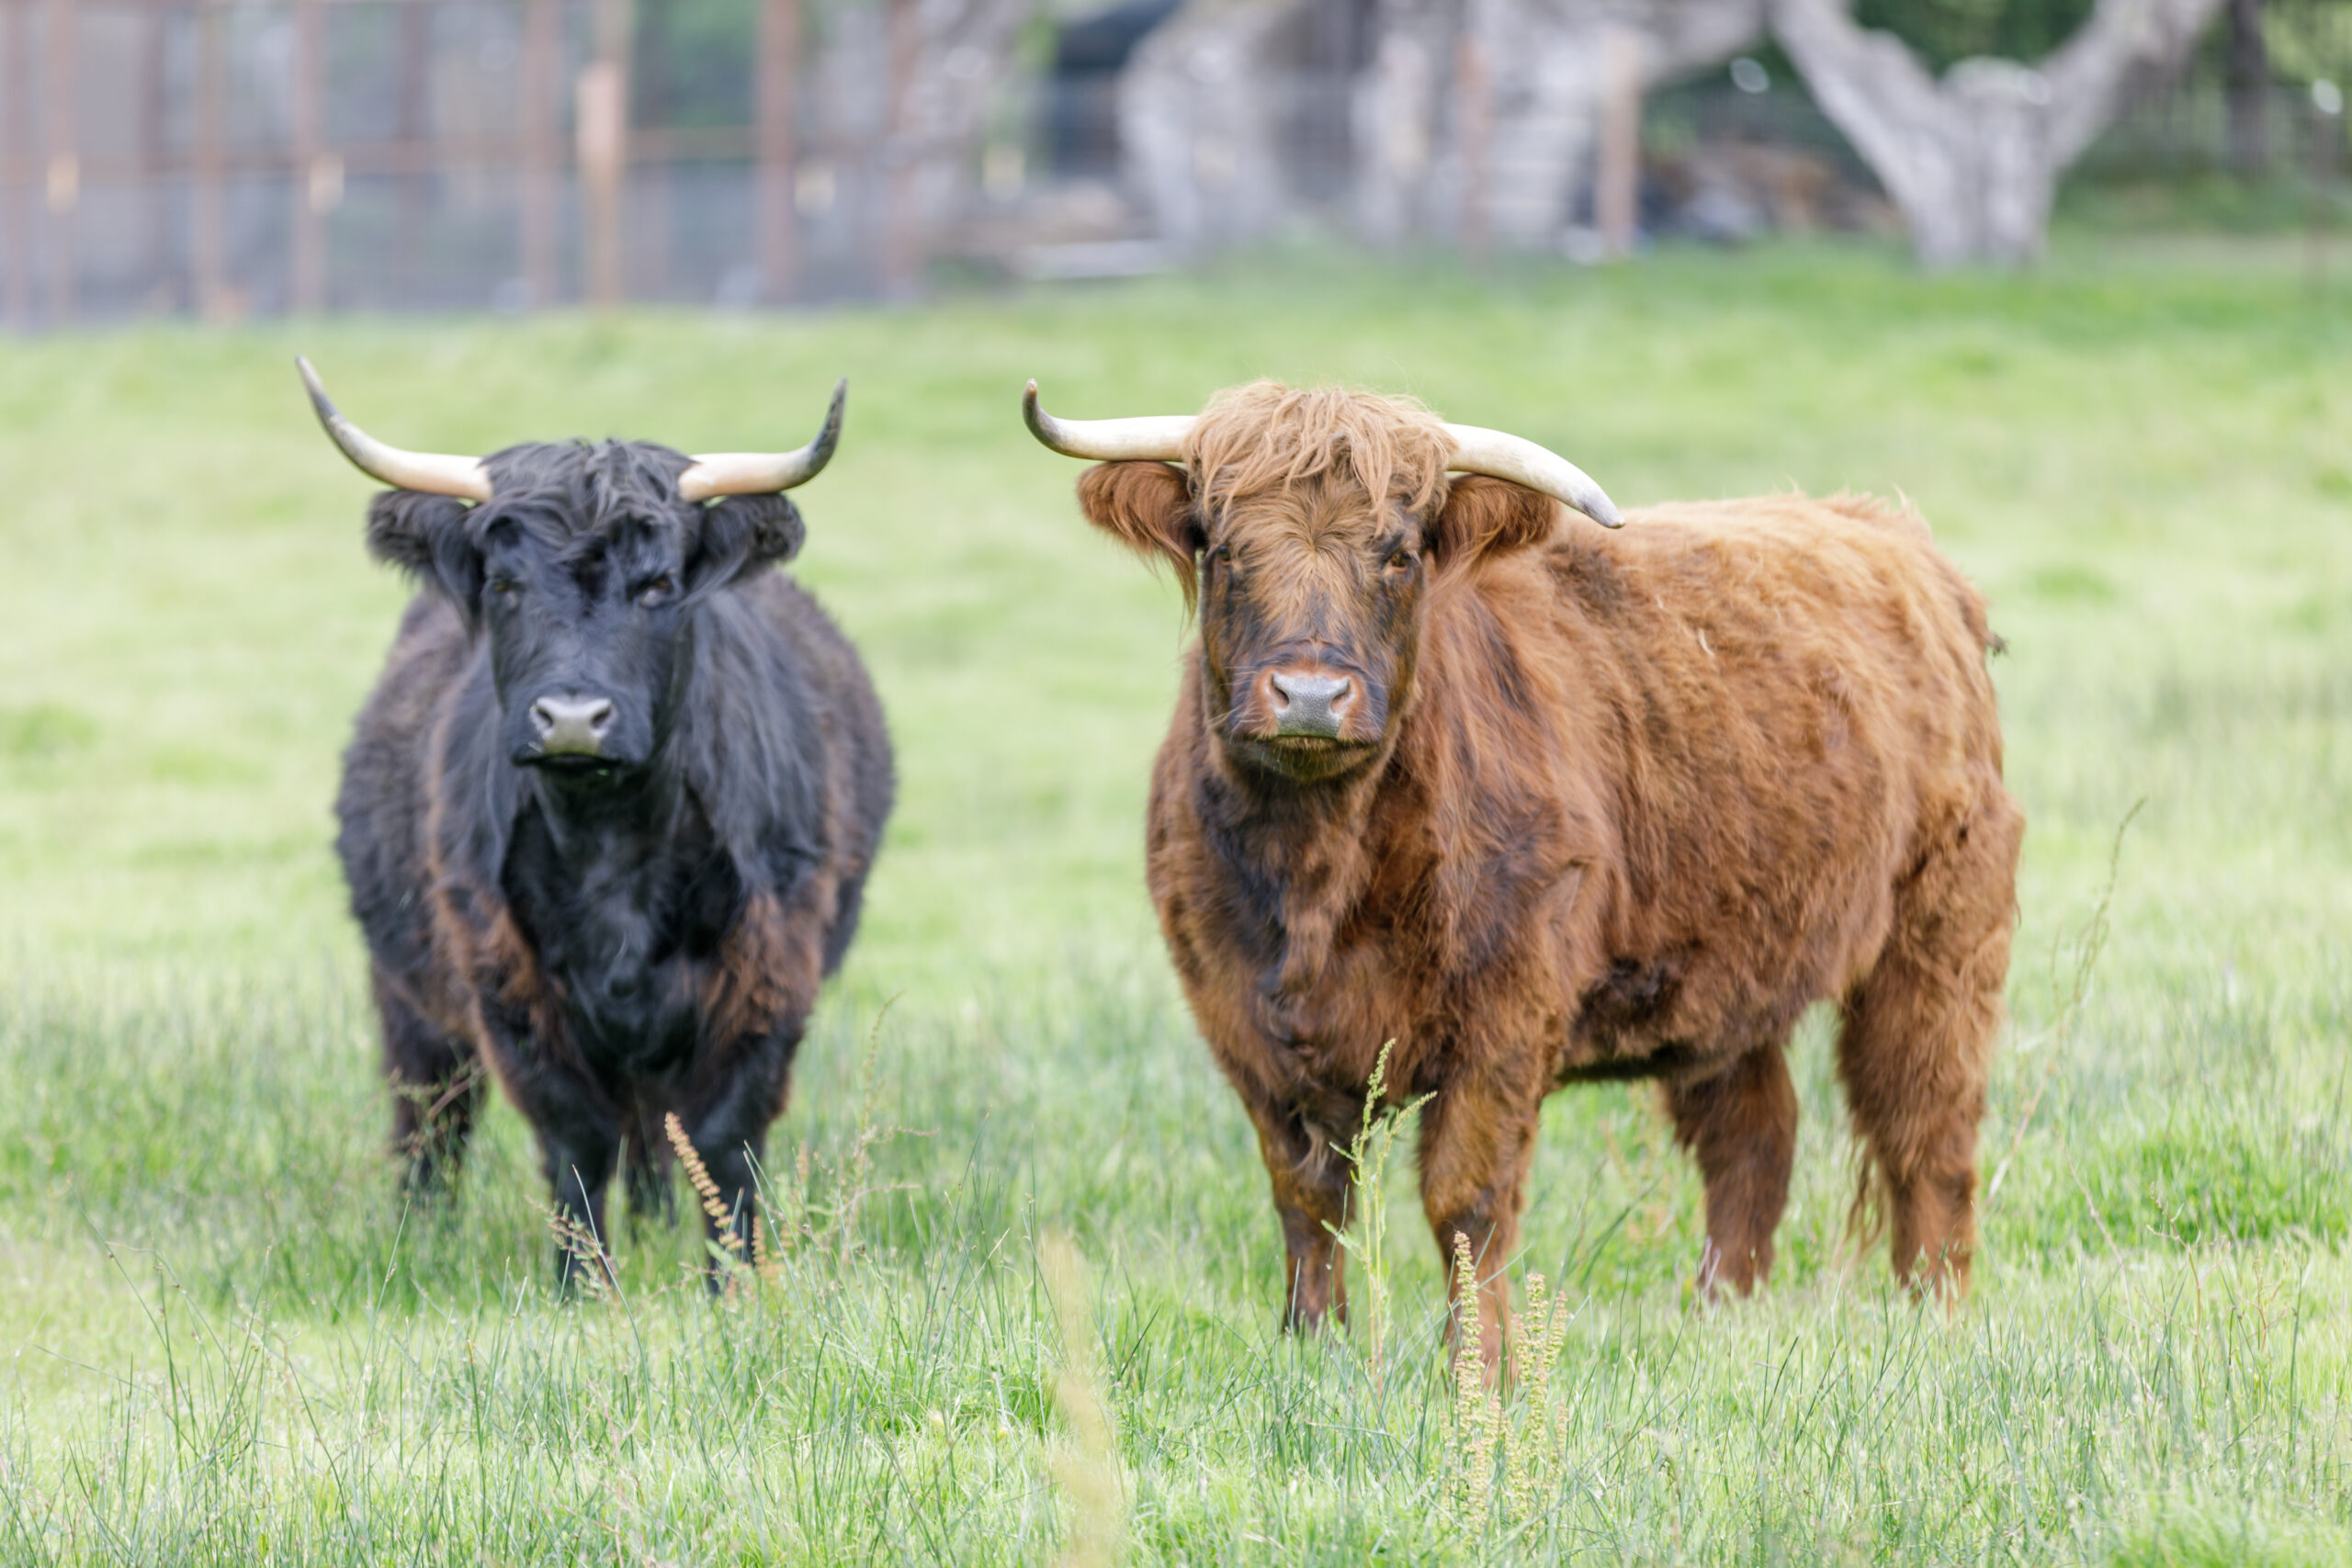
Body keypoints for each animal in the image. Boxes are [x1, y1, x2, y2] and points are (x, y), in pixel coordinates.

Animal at [305, 360, 893, 1286]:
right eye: (503, 584)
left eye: (656, 585)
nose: (573, 718)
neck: (615, 845)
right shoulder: (507, 984)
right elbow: (574, 1135)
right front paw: (585, 1287)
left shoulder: (770, 974)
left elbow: (722, 1135)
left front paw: (735, 1283)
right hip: (405, 989)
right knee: (433, 1113)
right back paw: (420, 1235)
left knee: (650, 1125)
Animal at [1024, 378, 2022, 1370]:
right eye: (1226, 547)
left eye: (1399, 553)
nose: (1309, 695)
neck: (1316, 872)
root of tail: (1891, 536)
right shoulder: (1242, 1018)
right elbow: (1308, 1197)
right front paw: (1311, 1346)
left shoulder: (1502, 1016)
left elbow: (1465, 1199)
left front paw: (1483, 1366)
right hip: (1729, 967)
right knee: (1755, 1136)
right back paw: (1718, 1315)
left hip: (1941, 932)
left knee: (1925, 1127)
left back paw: (1932, 1318)